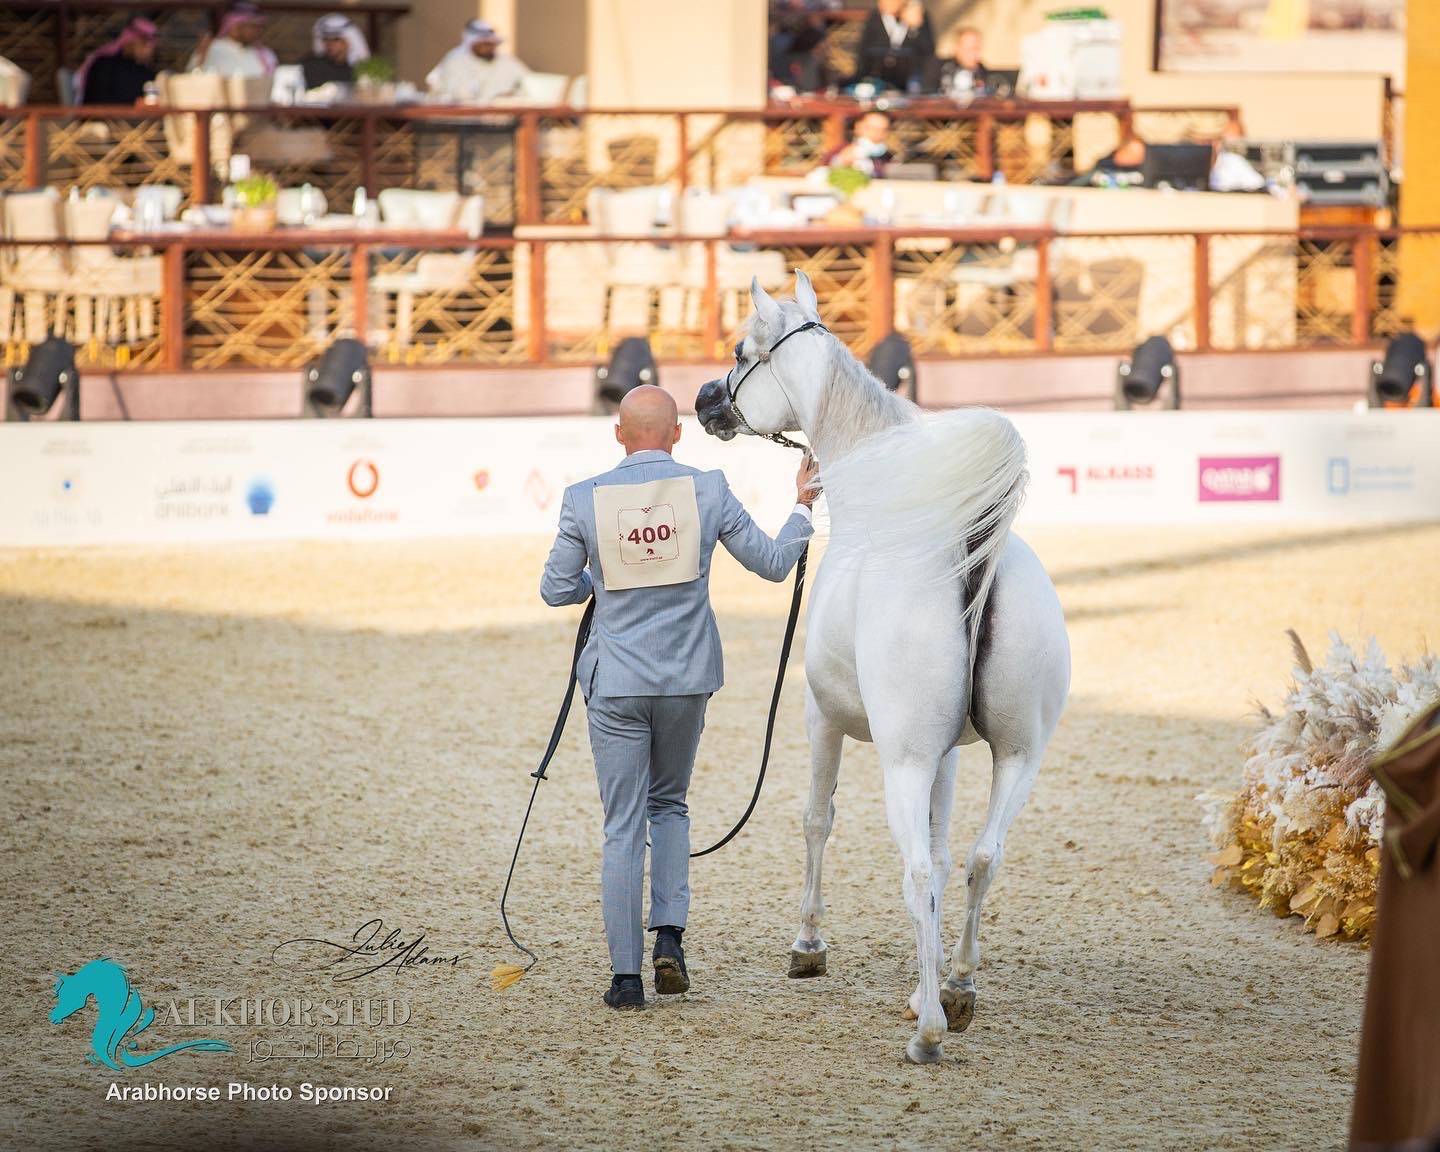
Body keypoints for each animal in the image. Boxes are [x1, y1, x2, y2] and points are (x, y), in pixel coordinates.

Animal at [695, 272, 1071, 1064]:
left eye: (742, 351)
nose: (706, 399)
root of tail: (976, 553)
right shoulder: (951, 755)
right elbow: (945, 849)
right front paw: (925, 977)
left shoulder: (822, 719)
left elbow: (818, 819)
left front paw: (809, 945)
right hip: (1019, 756)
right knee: (982, 857)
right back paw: (953, 989)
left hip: (902, 760)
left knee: (918, 867)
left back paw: (927, 1035)